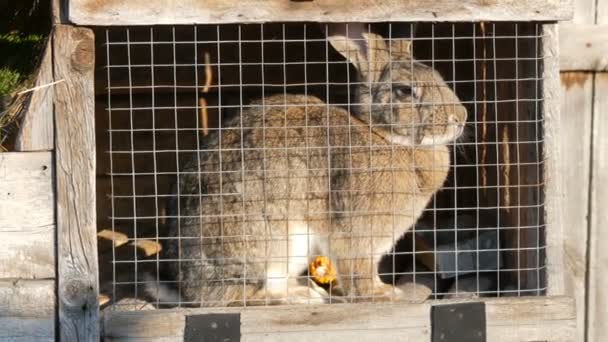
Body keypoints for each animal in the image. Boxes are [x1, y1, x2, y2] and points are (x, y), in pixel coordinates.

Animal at [156, 24, 466, 308]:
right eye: (405, 90)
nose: (460, 117)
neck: (383, 136)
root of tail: (183, 287)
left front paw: (383, 290)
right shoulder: (357, 232)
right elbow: (359, 271)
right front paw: (382, 295)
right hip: (263, 242)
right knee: (233, 296)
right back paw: (297, 297)